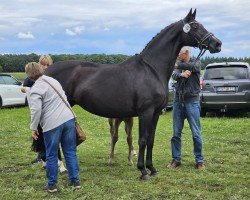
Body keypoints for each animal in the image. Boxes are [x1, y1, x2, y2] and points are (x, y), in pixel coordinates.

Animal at [46, 9, 222, 180]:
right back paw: (60, 168)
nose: (217, 43)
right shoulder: (145, 112)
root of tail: (47, 72)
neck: (152, 69)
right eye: (195, 26)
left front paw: (152, 169)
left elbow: (150, 140)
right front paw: (143, 171)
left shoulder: (156, 113)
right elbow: (142, 140)